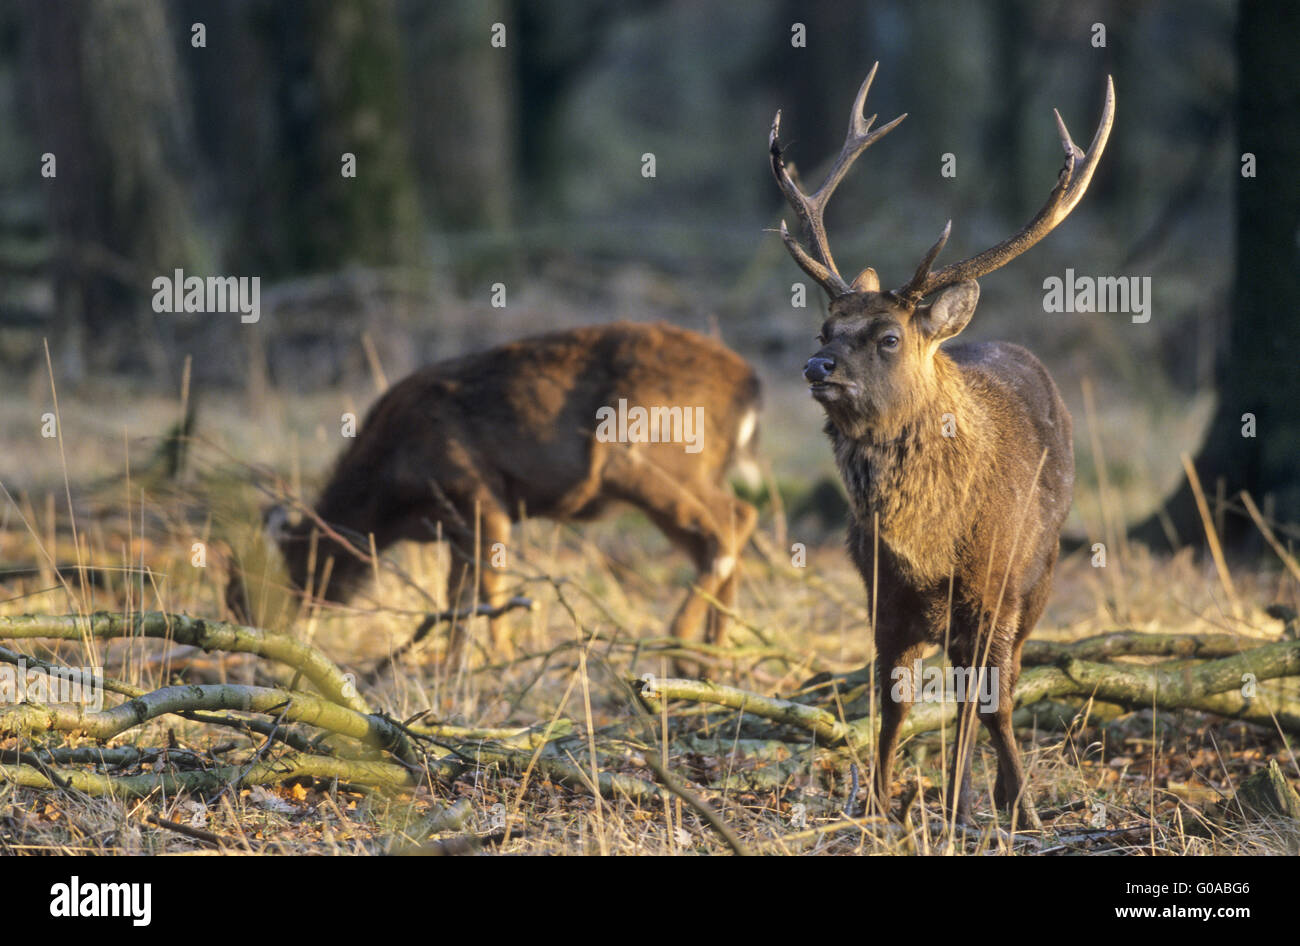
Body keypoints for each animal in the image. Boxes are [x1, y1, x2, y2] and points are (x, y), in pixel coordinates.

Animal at [244, 320, 759, 662]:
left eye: (292, 568)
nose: (278, 628)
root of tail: (751, 385)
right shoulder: (455, 527)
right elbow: (456, 600)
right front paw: (453, 670)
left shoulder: (482, 497)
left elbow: (491, 590)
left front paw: (503, 663)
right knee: (727, 526)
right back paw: (714, 654)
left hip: (643, 455)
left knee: (732, 519)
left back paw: (682, 636)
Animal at [769, 64, 1118, 826]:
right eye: (824, 330)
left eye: (887, 337)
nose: (816, 368)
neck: (930, 543)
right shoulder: (882, 594)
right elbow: (892, 703)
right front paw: (877, 803)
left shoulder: (995, 584)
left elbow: (992, 702)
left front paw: (1019, 807)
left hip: (1041, 573)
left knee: (986, 684)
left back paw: (978, 796)